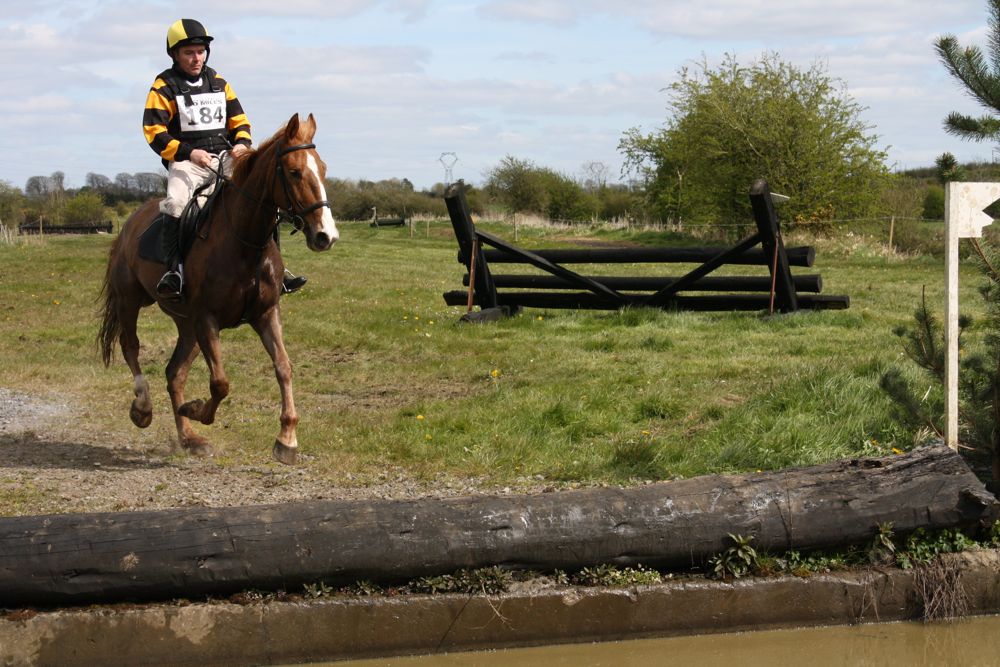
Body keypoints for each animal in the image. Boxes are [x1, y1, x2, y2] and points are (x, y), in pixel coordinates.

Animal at [98, 113, 338, 465]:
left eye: (322, 169)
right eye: (294, 172)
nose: (325, 236)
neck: (245, 243)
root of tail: (129, 224)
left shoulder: (266, 314)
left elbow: (283, 367)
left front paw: (287, 438)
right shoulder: (207, 319)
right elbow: (221, 383)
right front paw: (197, 410)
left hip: (186, 325)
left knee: (175, 373)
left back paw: (190, 438)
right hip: (132, 301)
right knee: (131, 347)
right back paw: (143, 408)